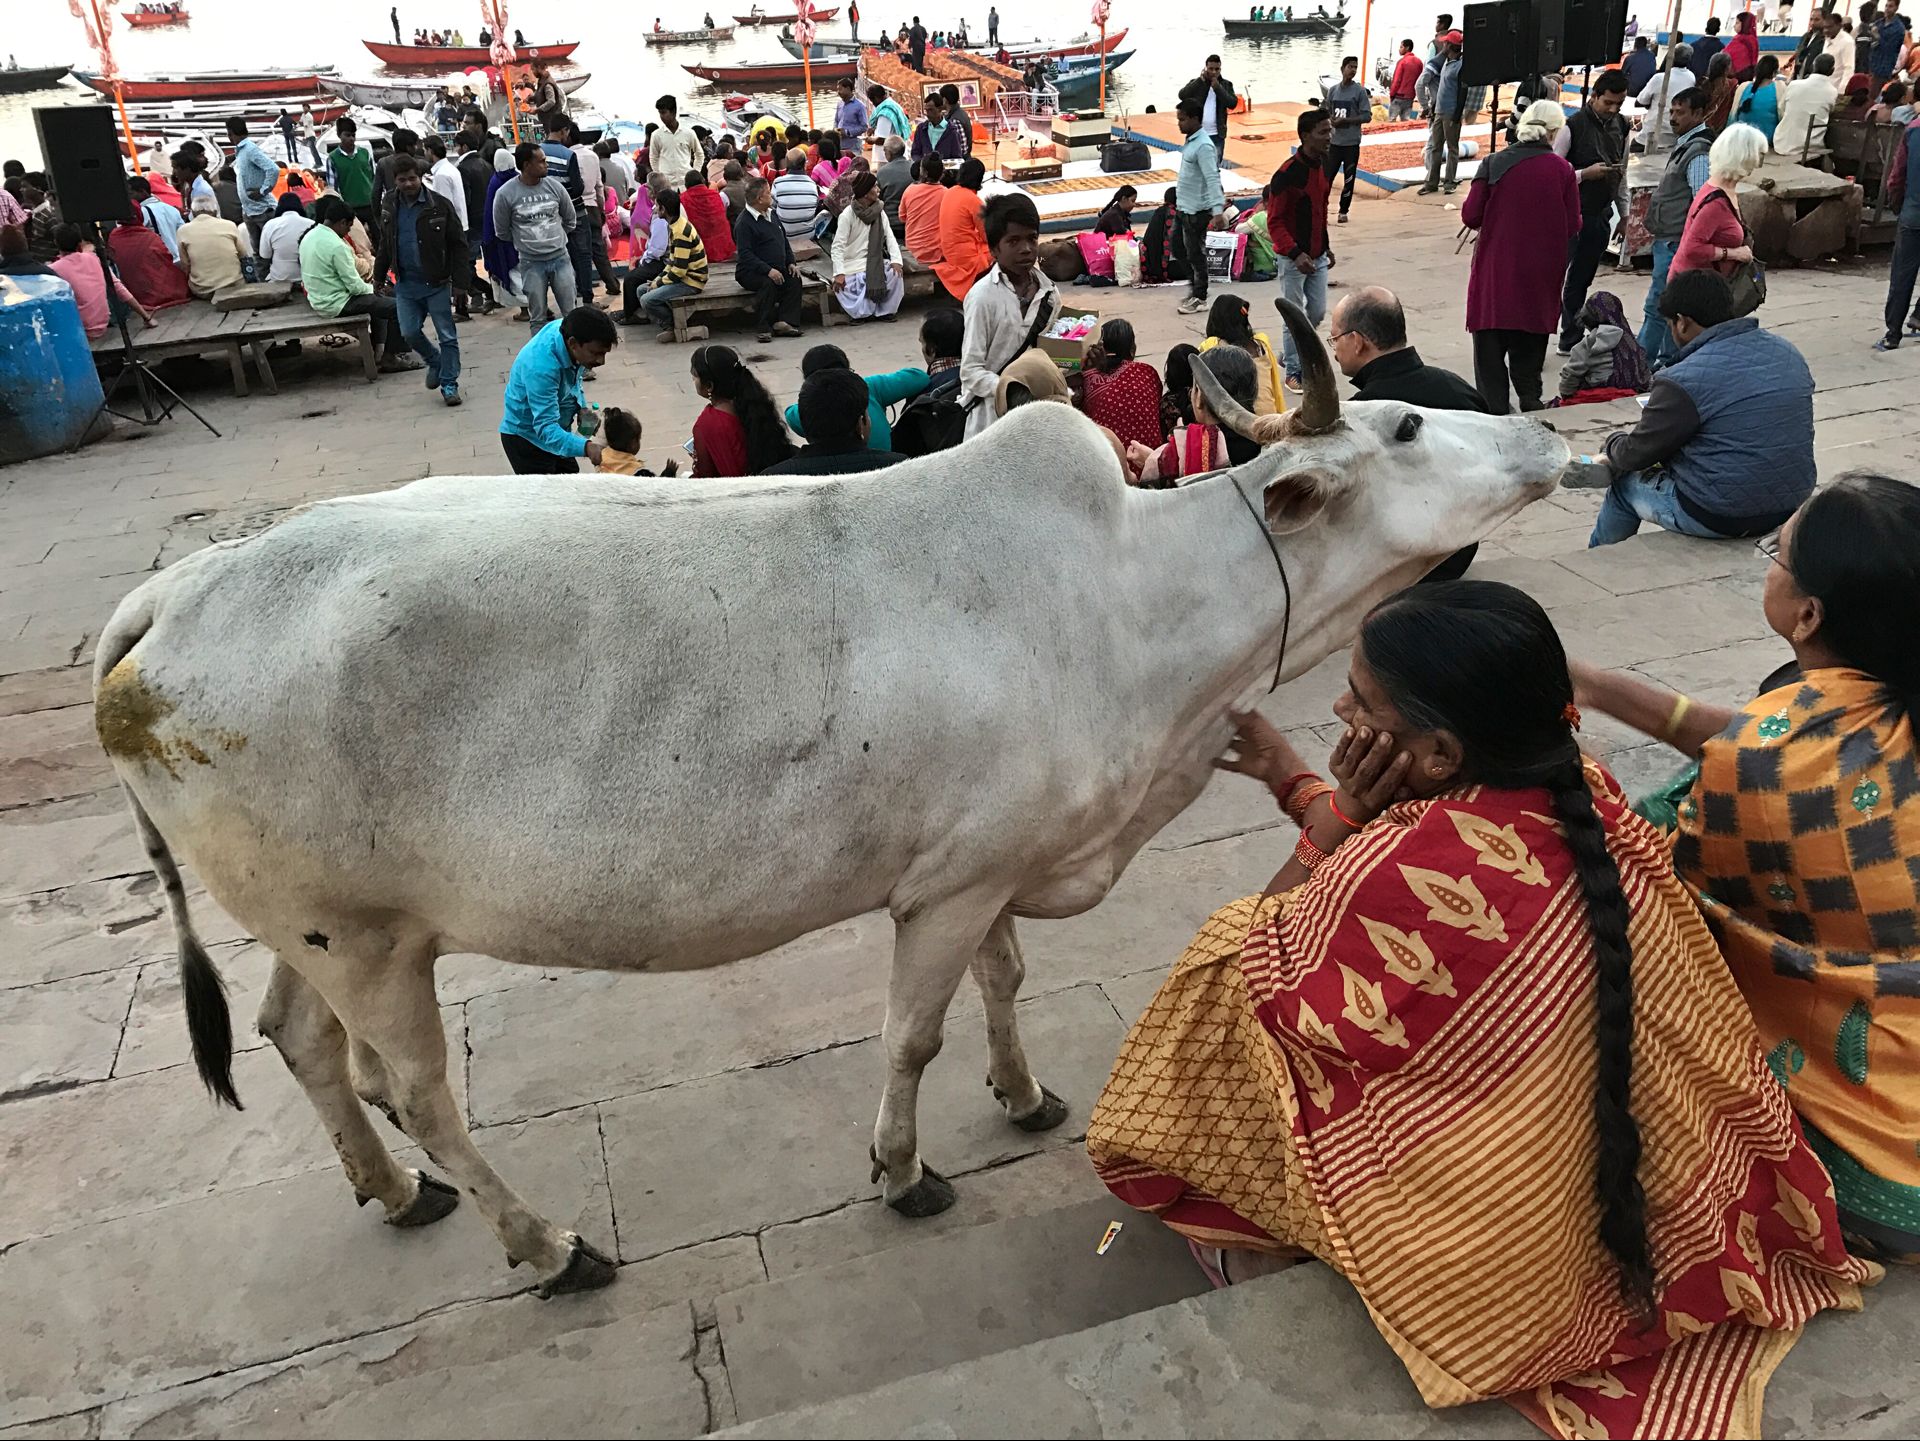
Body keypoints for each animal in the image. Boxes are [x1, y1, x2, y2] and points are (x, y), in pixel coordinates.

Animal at [90, 305, 1566, 1297]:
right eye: (1408, 423)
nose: (1551, 432)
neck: (1135, 604)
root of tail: (184, 589)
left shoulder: (995, 863)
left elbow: (1005, 983)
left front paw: (1023, 1092)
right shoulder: (948, 886)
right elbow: (912, 1036)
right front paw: (905, 1170)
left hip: (323, 927)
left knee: (301, 1041)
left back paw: (397, 1195)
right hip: (369, 938)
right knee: (418, 1090)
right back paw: (545, 1241)